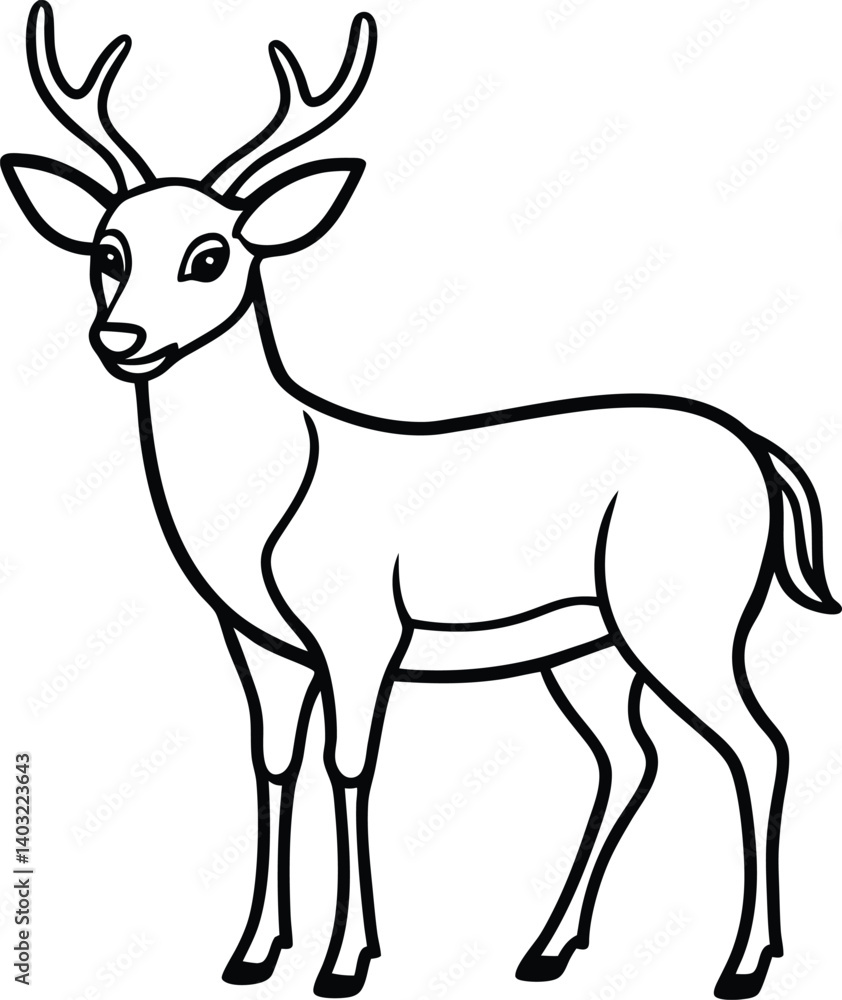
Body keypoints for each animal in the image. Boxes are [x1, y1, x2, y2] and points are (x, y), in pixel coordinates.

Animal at [3, 3, 838, 998]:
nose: (120, 337)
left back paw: (742, 964)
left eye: (211, 255)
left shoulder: (363, 630)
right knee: (631, 757)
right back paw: (547, 948)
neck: (272, 495)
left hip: (686, 616)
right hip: (588, 645)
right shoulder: (257, 642)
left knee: (760, 744)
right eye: (108, 250)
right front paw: (251, 953)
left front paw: (345, 961)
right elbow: (273, 763)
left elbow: (350, 768)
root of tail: (761, 453)